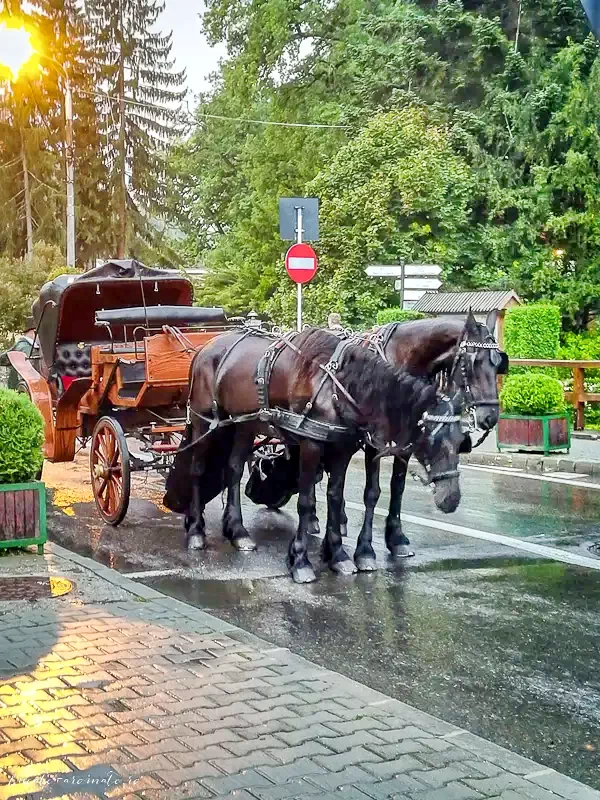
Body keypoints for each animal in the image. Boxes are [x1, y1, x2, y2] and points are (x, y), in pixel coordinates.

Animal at [164, 328, 464, 584]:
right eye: (433, 440)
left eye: (462, 441)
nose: (451, 499)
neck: (337, 386)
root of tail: (205, 348)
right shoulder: (311, 445)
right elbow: (306, 501)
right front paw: (300, 560)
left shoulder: (342, 449)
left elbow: (335, 497)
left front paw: (338, 554)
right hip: (205, 420)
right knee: (197, 468)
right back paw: (196, 531)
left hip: (243, 424)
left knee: (234, 469)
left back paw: (238, 532)